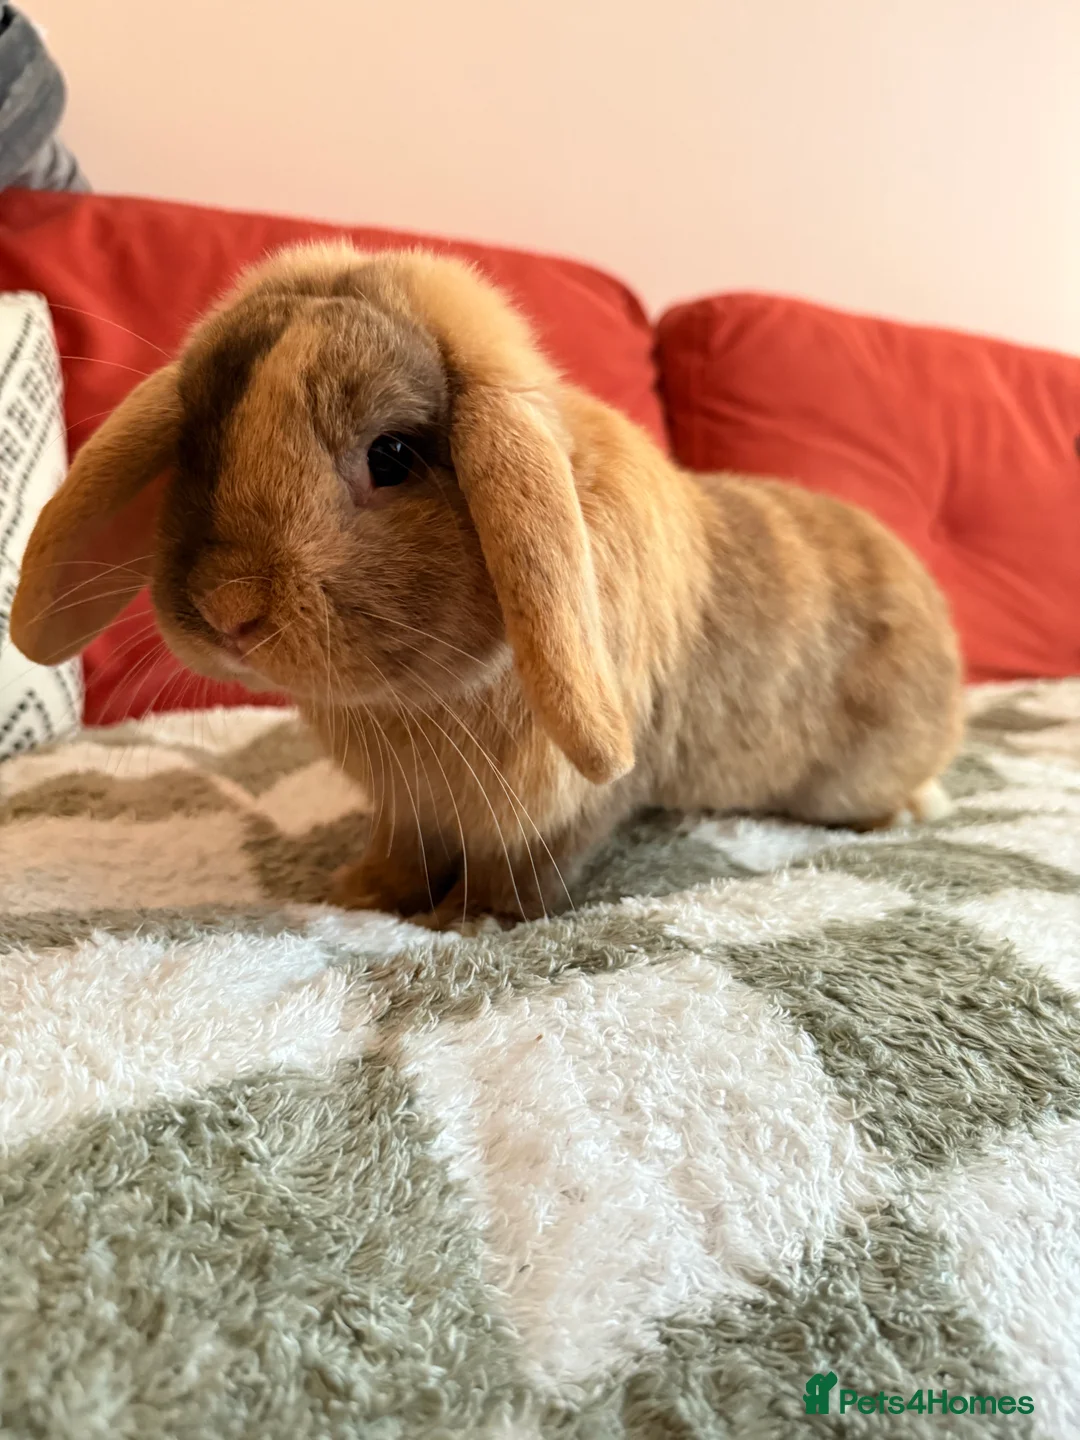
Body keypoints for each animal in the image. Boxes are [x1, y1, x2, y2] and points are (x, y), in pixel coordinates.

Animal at [11, 243, 963, 927]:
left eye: (393, 455)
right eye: (197, 444)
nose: (226, 608)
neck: (415, 702)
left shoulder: (573, 801)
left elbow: (531, 866)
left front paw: (471, 921)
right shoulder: (410, 807)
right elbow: (402, 851)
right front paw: (361, 892)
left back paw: (908, 813)